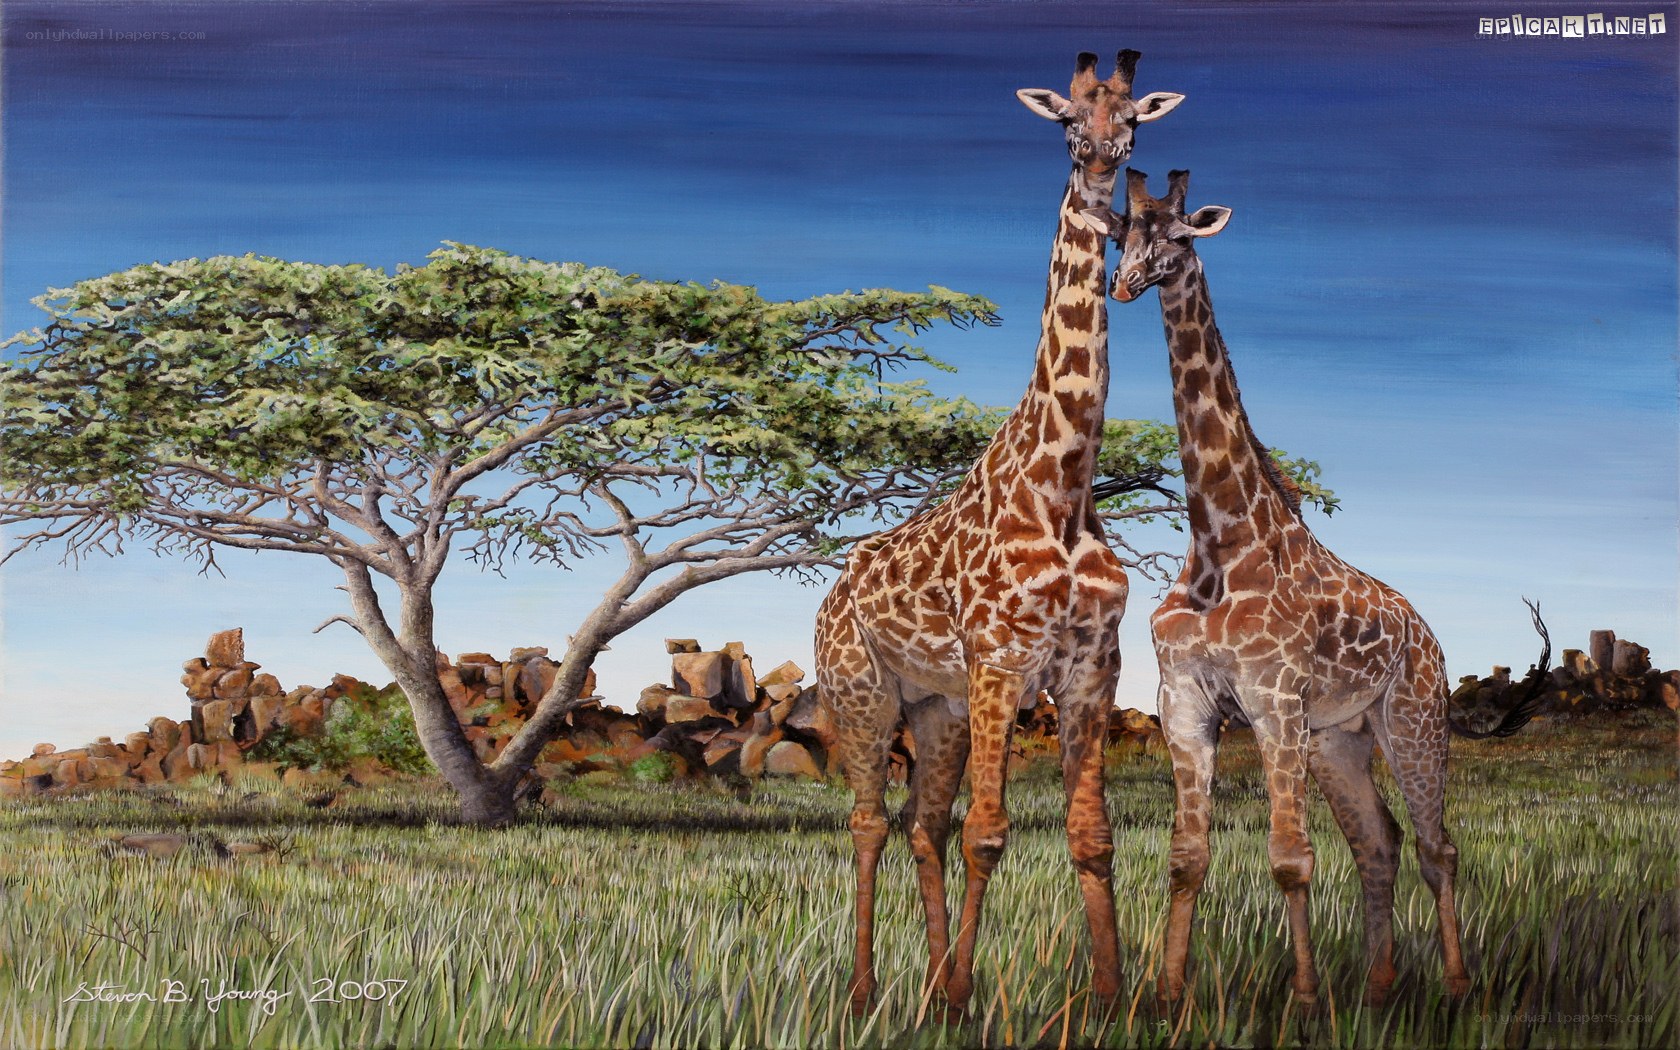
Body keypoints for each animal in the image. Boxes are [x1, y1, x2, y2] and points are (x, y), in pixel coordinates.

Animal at [814, 52, 1183, 1020]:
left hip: (936, 707)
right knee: (870, 822)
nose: (1102, 158)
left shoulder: (1092, 666)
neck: (1064, 488)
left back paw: (930, 981)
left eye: (1136, 117)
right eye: (1066, 119)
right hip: (863, 693)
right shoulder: (1001, 659)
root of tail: (833, 592)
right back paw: (869, 990)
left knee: (923, 826)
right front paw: (968, 1000)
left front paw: (1107, 995)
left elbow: (1091, 837)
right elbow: (992, 833)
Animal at [1090, 168, 1551, 1008]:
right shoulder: (1185, 701)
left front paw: (1304, 1000)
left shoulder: (1271, 700)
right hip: (1339, 739)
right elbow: (1187, 857)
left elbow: (1289, 857)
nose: (1127, 283)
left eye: (1178, 236)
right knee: (1380, 840)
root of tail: (1428, 634)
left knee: (1438, 845)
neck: (1220, 542)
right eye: (1122, 236)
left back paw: (1455, 985)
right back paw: (1378, 983)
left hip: (1410, 721)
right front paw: (1168, 998)